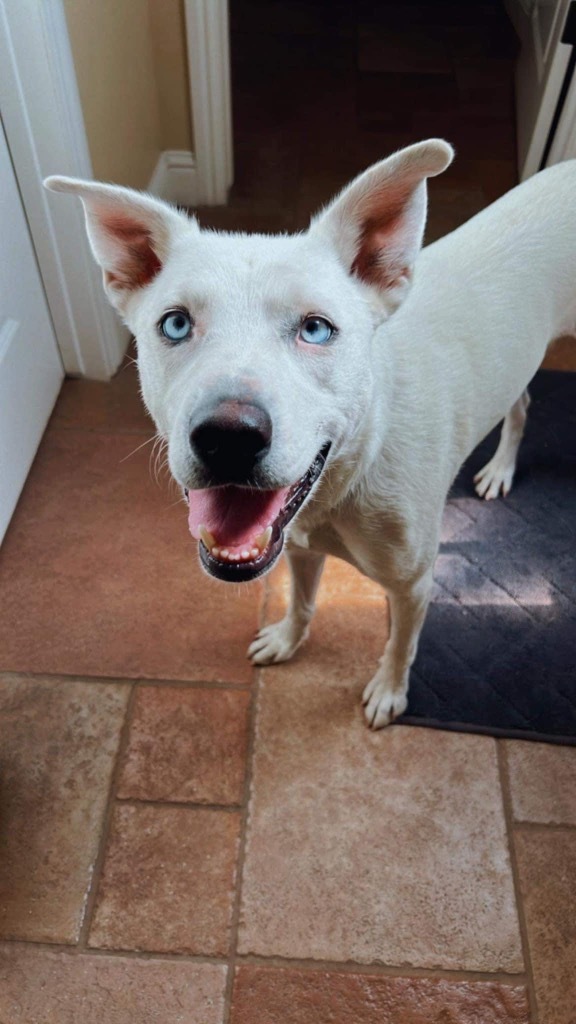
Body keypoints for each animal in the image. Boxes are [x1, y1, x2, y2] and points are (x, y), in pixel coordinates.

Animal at [43, 142, 573, 729]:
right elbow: (300, 600)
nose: (229, 437)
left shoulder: (415, 584)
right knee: (521, 402)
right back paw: (501, 468)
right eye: (175, 324)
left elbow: (401, 644)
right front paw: (287, 640)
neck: (350, 477)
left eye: (316, 329)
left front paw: (390, 691)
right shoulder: (297, 547)